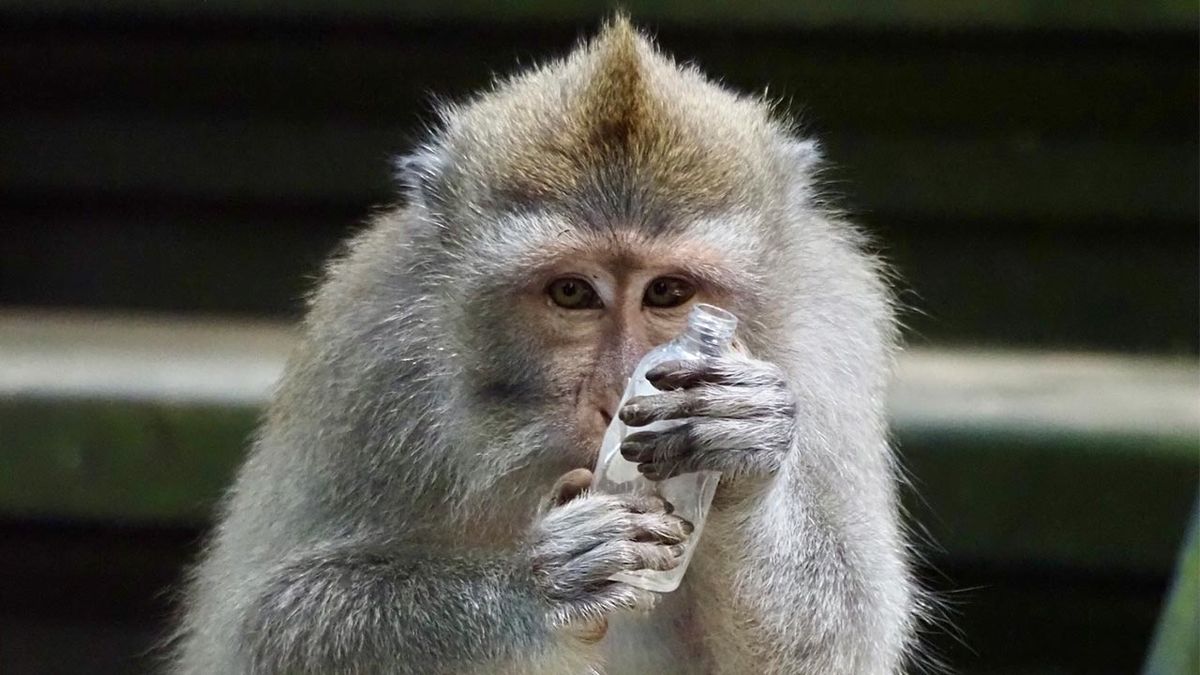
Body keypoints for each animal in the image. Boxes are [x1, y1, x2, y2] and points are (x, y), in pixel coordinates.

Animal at [171, 17, 918, 675]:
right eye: (571, 293)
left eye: (668, 291)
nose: (616, 393)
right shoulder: (366, 347)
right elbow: (265, 624)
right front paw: (537, 581)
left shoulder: (831, 338)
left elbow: (850, 631)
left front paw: (741, 438)